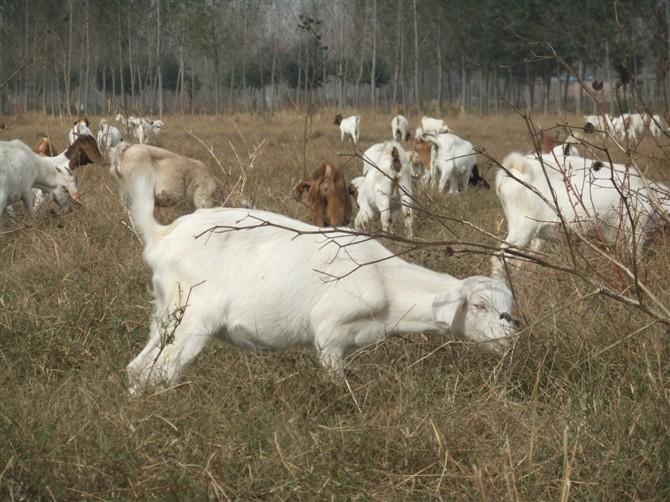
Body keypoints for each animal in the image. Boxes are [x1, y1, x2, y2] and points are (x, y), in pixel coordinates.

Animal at [122, 167, 520, 394]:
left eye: (508, 308)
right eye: (479, 305)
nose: (509, 341)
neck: (386, 283)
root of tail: (160, 236)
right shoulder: (330, 331)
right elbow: (336, 381)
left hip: (166, 314)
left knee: (137, 369)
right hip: (193, 316)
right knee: (162, 371)